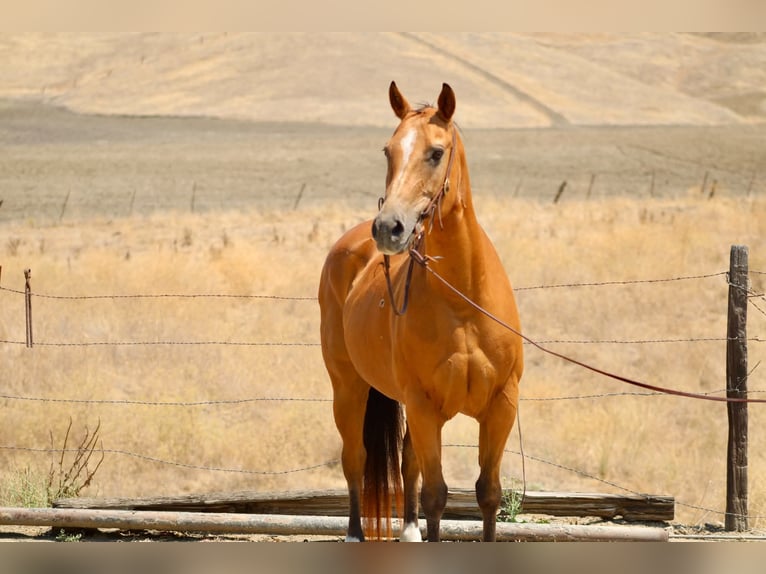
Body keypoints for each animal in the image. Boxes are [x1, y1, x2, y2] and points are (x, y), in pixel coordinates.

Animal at [318, 82, 523, 542]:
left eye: (435, 152)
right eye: (388, 150)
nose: (388, 228)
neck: (464, 301)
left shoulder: (501, 405)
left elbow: (488, 493)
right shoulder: (425, 406)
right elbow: (436, 495)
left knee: (407, 461)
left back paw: (409, 531)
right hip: (349, 387)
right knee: (355, 459)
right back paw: (355, 533)